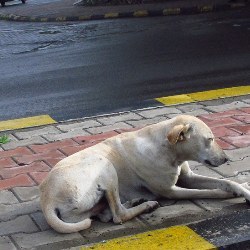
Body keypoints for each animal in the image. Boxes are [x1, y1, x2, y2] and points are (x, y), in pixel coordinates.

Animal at [39, 114, 250, 233]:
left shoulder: (187, 178)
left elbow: (224, 181)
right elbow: (212, 191)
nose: (226, 159)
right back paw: (146, 205)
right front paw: (233, 194)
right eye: (209, 139)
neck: (168, 149)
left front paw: (241, 187)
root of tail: (47, 201)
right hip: (104, 165)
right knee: (118, 216)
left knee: (107, 213)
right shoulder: (171, 191)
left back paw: (135, 202)